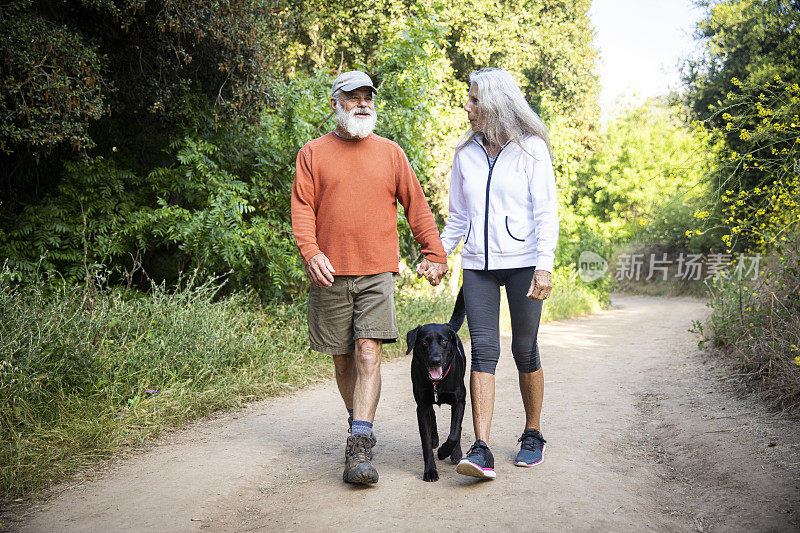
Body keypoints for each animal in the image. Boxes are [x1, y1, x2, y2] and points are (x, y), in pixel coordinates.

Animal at [406, 286, 468, 482]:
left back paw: (455, 452)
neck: (437, 384)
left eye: (444, 341)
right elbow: (425, 443)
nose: (435, 360)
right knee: (432, 413)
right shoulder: (421, 406)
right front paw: (430, 471)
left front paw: (445, 452)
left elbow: (455, 431)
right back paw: (435, 439)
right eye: (425, 342)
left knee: (457, 426)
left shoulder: (460, 401)